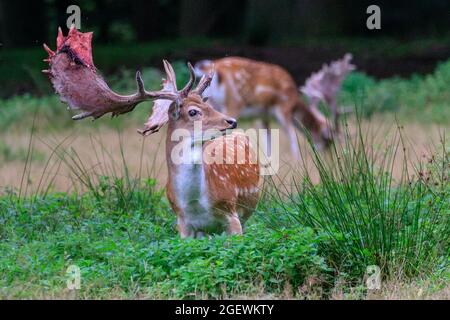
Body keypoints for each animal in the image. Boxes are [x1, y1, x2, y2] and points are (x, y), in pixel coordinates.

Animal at [43, 26, 260, 238]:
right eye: (193, 112)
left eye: (209, 106)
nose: (232, 121)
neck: (195, 204)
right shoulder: (183, 225)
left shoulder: (231, 215)